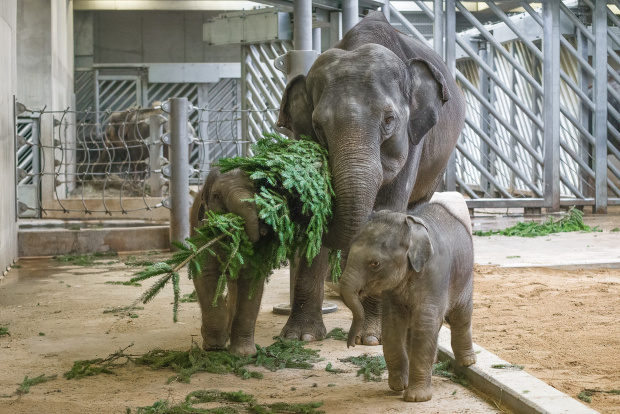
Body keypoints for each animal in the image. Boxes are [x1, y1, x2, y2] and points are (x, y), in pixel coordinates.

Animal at [189, 167, 266, 356]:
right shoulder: (202, 234)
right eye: (216, 196)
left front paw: (244, 354)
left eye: (257, 190)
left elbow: (251, 281)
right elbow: (205, 275)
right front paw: (214, 345)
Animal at [276, 11, 464, 344]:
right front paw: (301, 337)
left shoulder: (412, 139)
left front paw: (373, 338)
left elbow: (390, 207)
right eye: (318, 126)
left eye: (389, 120)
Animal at [340, 193, 474, 402]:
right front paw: (398, 386)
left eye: (375, 263)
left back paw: (467, 362)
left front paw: (416, 398)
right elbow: (392, 325)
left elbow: (425, 324)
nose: (351, 344)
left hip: (465, 277)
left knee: (461, 316)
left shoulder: (435, 273)